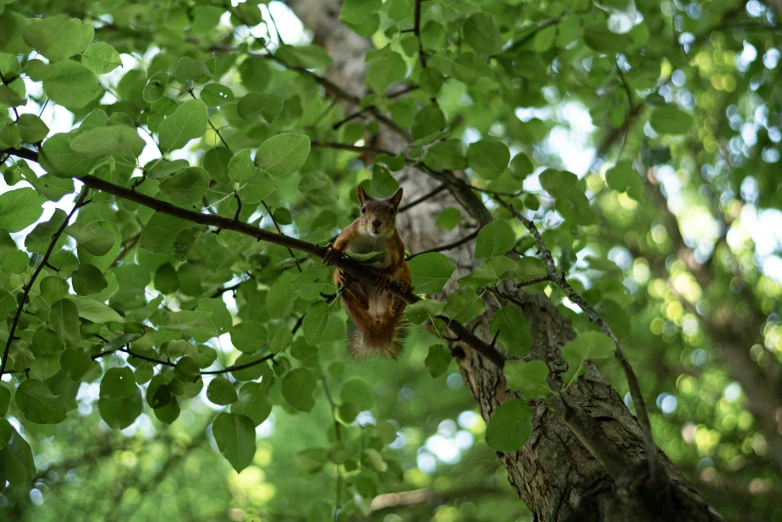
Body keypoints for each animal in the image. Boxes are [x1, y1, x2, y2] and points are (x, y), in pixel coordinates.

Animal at [324, 185, 414, 360]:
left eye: (392, 211)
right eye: (363, 209)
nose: (376, 222)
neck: (373, 238)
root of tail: (376, 325)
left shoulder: (397, 244)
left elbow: (397, 262)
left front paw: (385, 275)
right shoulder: (350, 230)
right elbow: (340, 241)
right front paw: (335, 251)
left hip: (404, 274)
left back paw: (399, 296)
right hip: (346, 291)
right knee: (361, 300)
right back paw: (350, 282)